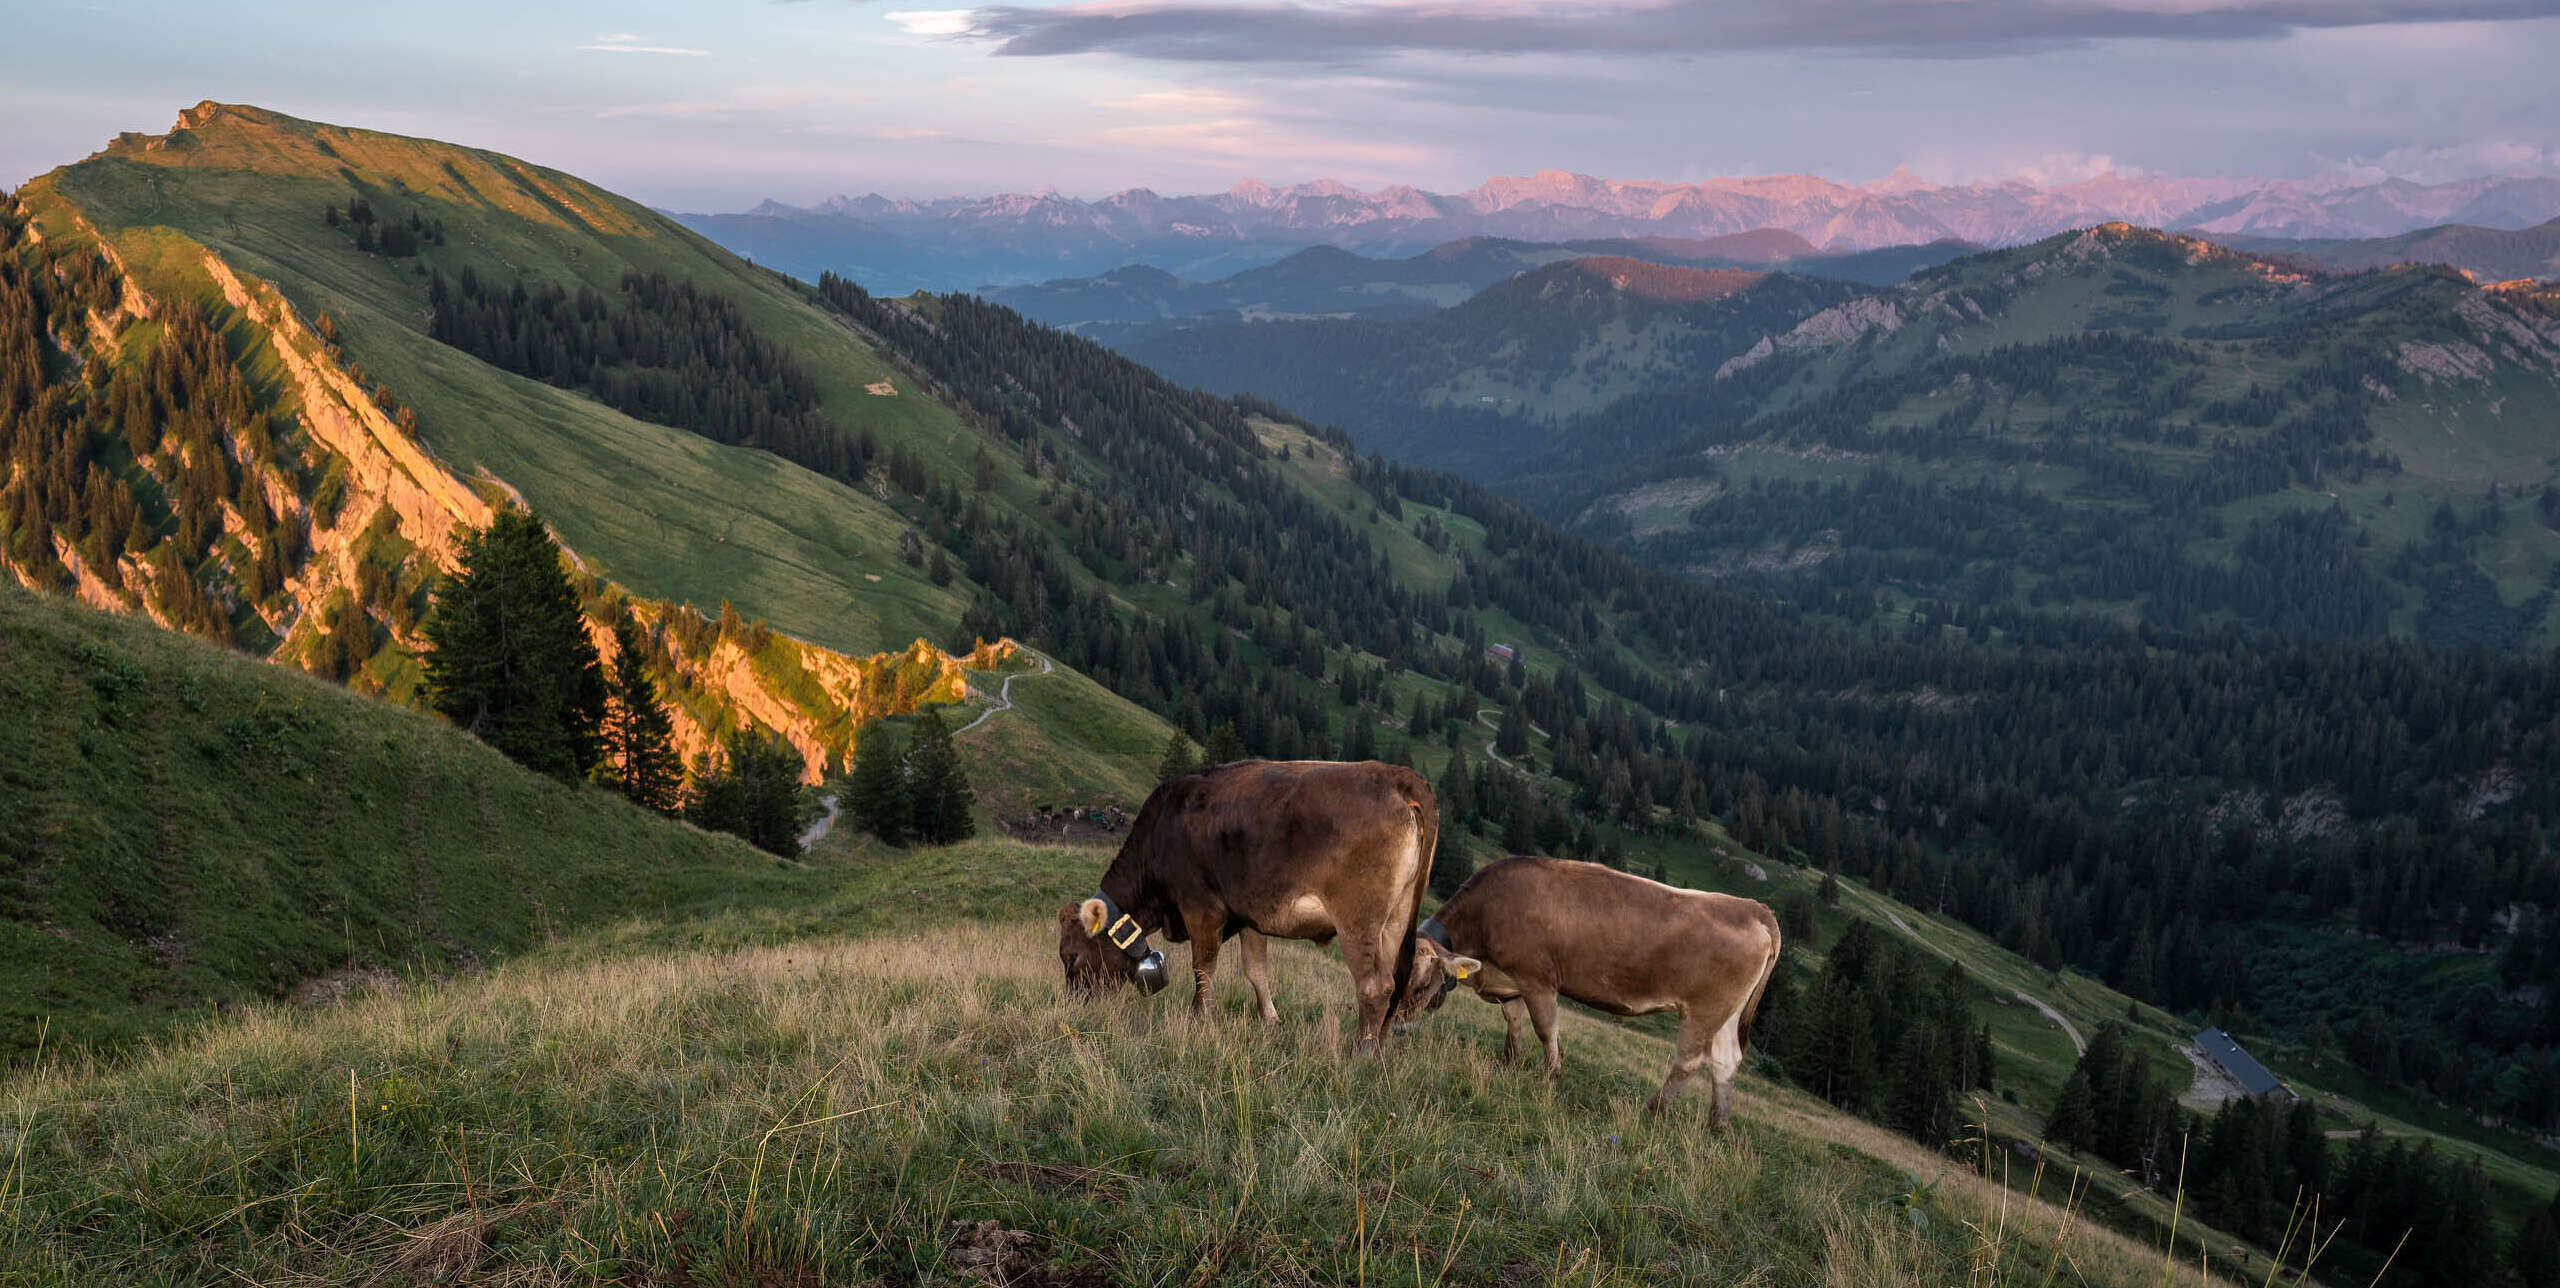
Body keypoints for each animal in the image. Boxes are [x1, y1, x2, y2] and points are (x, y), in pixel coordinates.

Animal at [1049, 763, 1433, 1054]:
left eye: (1072, 957)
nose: (1074, 1005)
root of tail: (1395, 775)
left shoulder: (1202, 908)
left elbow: (1203, 968)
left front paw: (1199, 1018)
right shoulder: (1251, 916)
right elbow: (1255, 970)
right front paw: (1271, 1020)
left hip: (1359, 920)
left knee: (1375, 985)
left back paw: (1362, 1054)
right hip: (1395, 921)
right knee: (1397, 981)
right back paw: (1379, 1047)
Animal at [1382, 860, 1781, 1126]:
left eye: (1421, 986)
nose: (1394, 1028)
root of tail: (1752, 907)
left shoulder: (1537, 979)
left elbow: (1545, 1029)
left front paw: (1550, 1076)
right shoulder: (1510, 980)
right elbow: (1513, 1020)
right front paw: (1510, 1061)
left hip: (1705, 1009)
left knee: (1690, 1060)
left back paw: (1652, 1110)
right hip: (1727, 1014)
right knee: (1726, 1061)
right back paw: (1718, 1124)